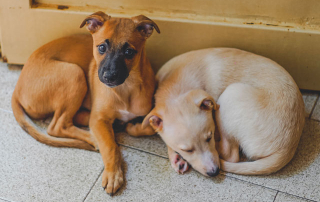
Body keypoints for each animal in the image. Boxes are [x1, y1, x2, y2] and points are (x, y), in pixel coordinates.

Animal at [11, 11, 159, 195]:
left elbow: (150, 127)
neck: (125, 89)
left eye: (129, 52)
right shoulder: (99, 119)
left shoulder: (149, 111)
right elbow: (110, 146)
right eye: (101, 48)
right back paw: (94, 137)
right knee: (57, 126)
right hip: (74, 73)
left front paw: (134, 127)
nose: (109, 77)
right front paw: (113, 174)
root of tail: (17, 88)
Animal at [142, 48, 304, 176]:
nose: (214, 172)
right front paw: (176, 157)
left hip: (231, 94)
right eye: (188, 150)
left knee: (231, 154)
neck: (175, 86)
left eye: (209, 138)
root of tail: (288, 147)